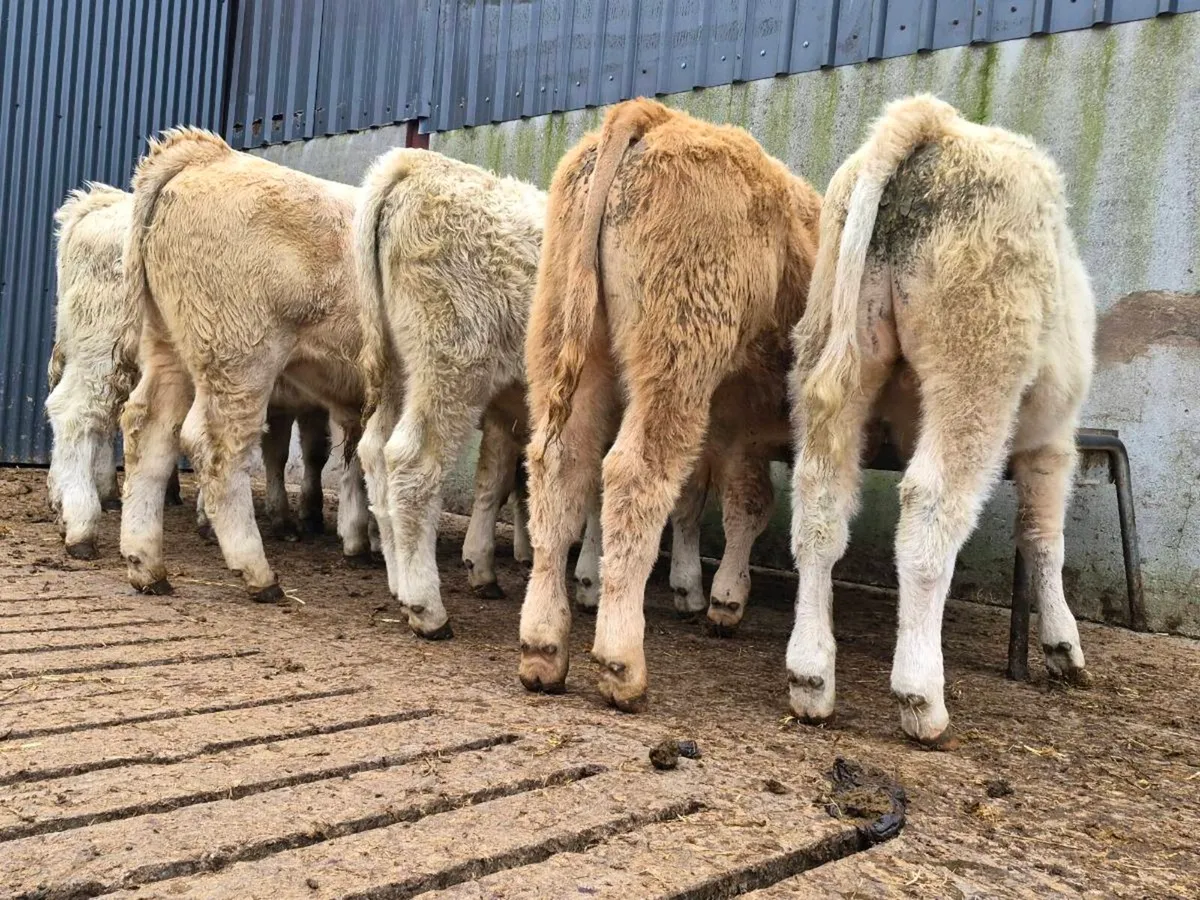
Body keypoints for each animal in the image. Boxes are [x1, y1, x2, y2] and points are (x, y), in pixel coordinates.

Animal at [355, 148, 544, 638]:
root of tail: (414, 162)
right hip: (453, 363)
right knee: (413, 463)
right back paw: (427, 608)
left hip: (399, 366)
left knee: (375, 452)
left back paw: (400, 585)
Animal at [517, 98, 821, 710]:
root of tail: (656, 116)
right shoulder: (743, 434)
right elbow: (746, 506)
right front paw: (722, 600)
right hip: (677, 358)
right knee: (635, 474)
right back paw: (621, 662)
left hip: (566, 338)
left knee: (560, 467)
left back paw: (543, 648)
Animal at [787, 94, 1095, 747]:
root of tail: (935, 122)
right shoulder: (1052, 443)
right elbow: (1043, 539)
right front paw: (1063, 645)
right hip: (975, 364)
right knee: (931, 505)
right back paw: (921, 696)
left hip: (833, 348)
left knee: (820, 502)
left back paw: (811, 678)